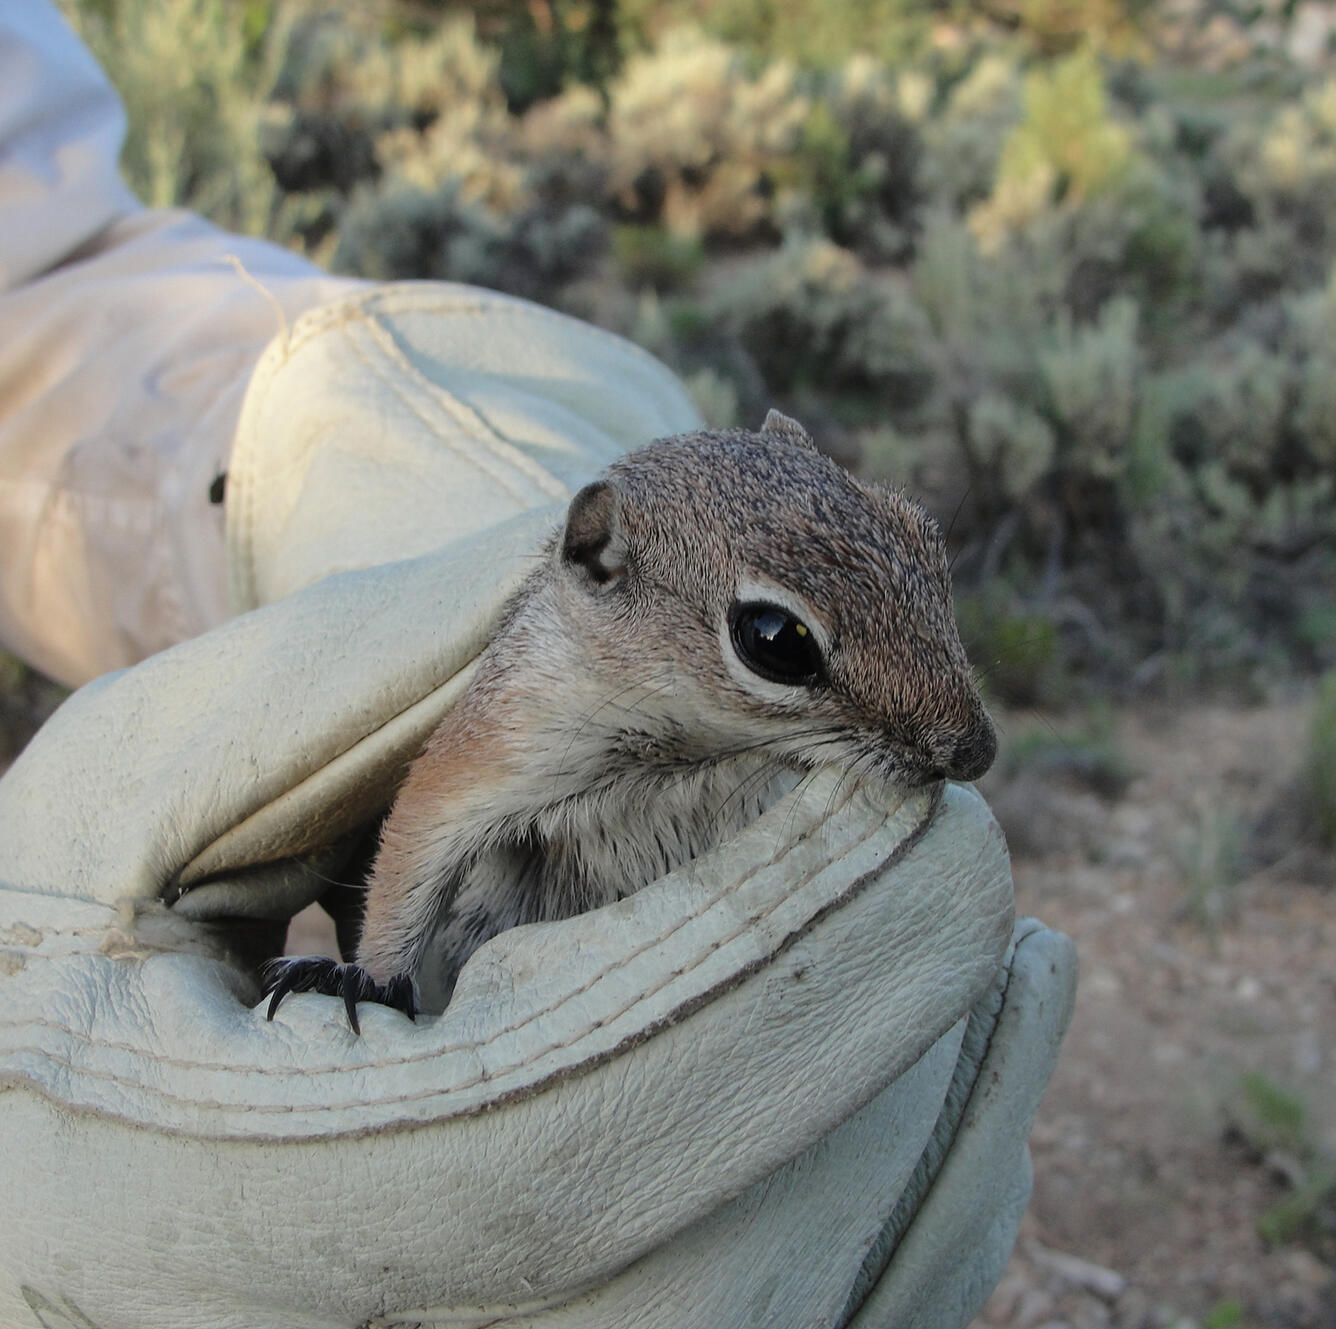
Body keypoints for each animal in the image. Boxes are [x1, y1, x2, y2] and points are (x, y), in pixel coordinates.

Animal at [262, 411, 996, 1031]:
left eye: (925, 532)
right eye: (775, 639)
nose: (977, 751)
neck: (691, 750)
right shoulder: (496, 749)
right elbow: (409, 859)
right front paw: (367, 977)